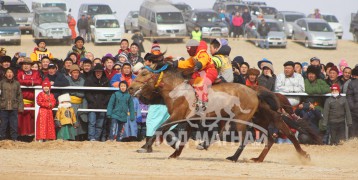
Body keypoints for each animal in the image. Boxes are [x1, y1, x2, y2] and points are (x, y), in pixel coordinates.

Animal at [129, 63, 310, 162]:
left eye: (144, 73)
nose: (130, 88)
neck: (178, 90)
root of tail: (253, 91)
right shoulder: (189, 121)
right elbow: (181, 137)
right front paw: (175, 152)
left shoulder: (177, 116)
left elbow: (161, 128)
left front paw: (145, 147)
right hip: (259, 119)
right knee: (271, 138)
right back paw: (259, 158)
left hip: (242, 120)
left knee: (247, 139)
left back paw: (234, 157)